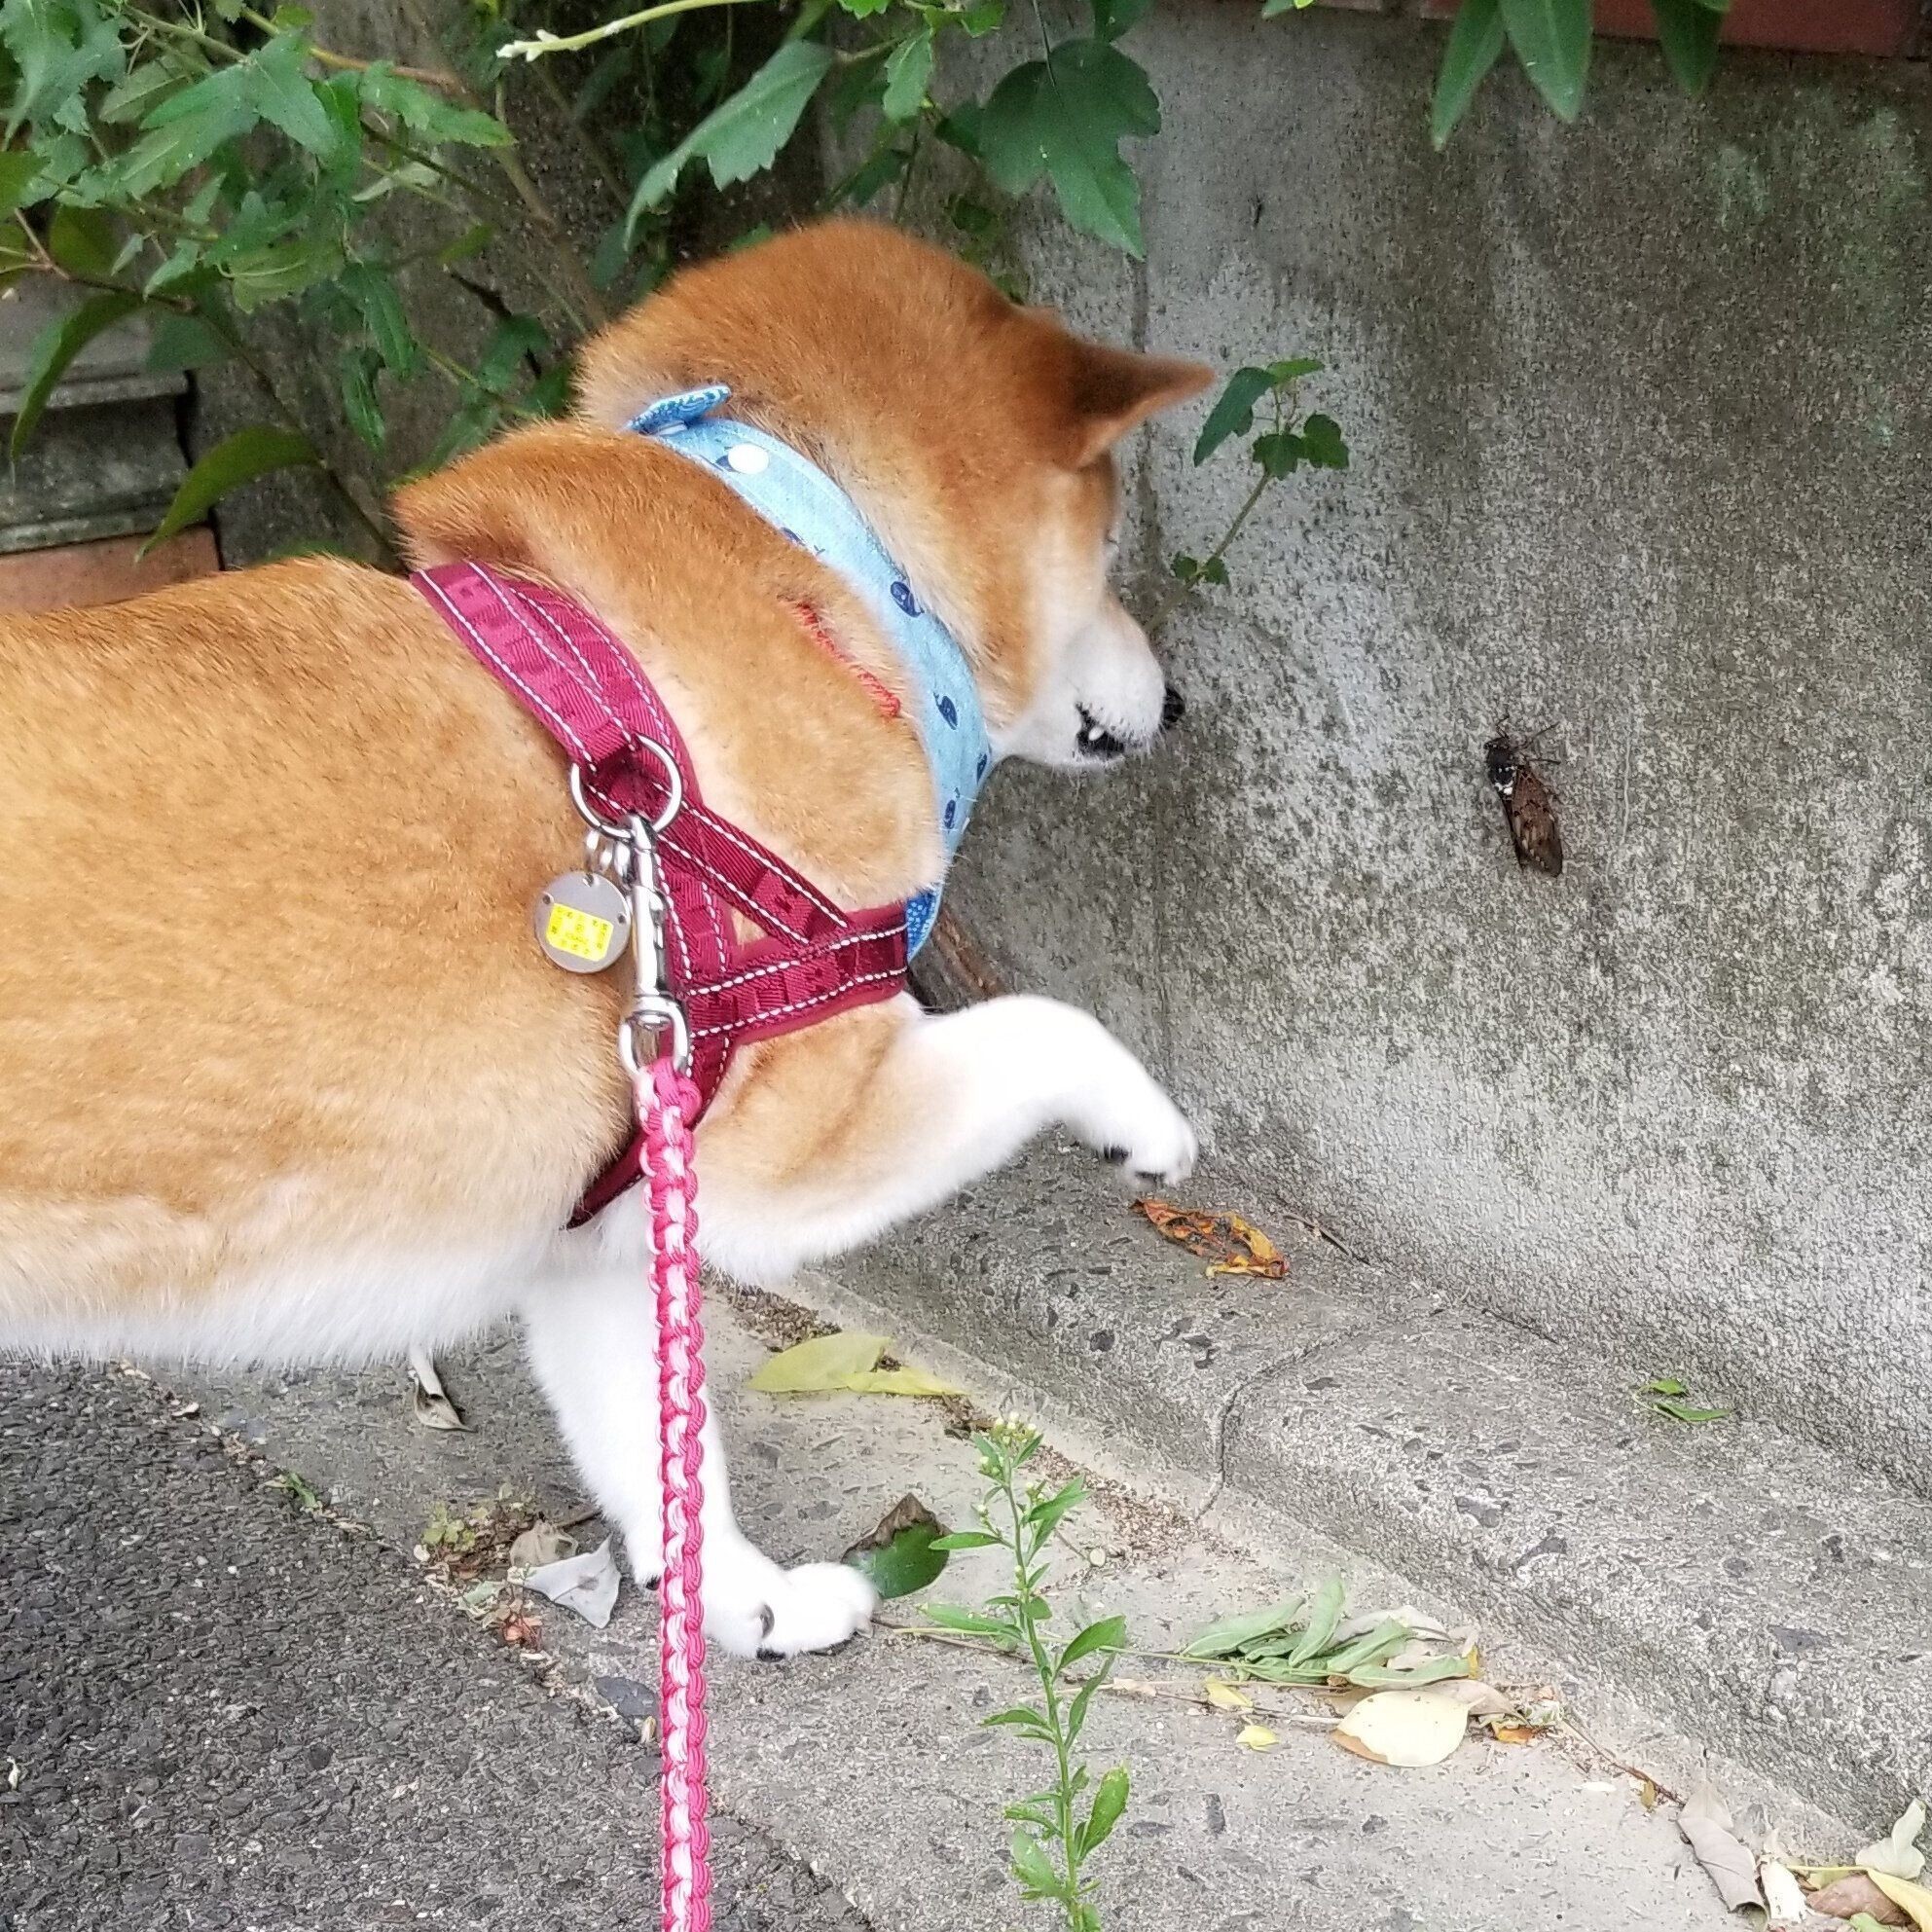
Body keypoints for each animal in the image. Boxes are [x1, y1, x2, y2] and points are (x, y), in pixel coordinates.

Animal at [0, 219, 1205, 1654]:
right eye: (1114, 535)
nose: (1178, 704)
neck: (824, 563)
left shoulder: (607, 1223)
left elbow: (659, 1450)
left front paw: (741, 1604)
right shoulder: (780, 1147)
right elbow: (1046, 1026)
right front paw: (1147, 1124)